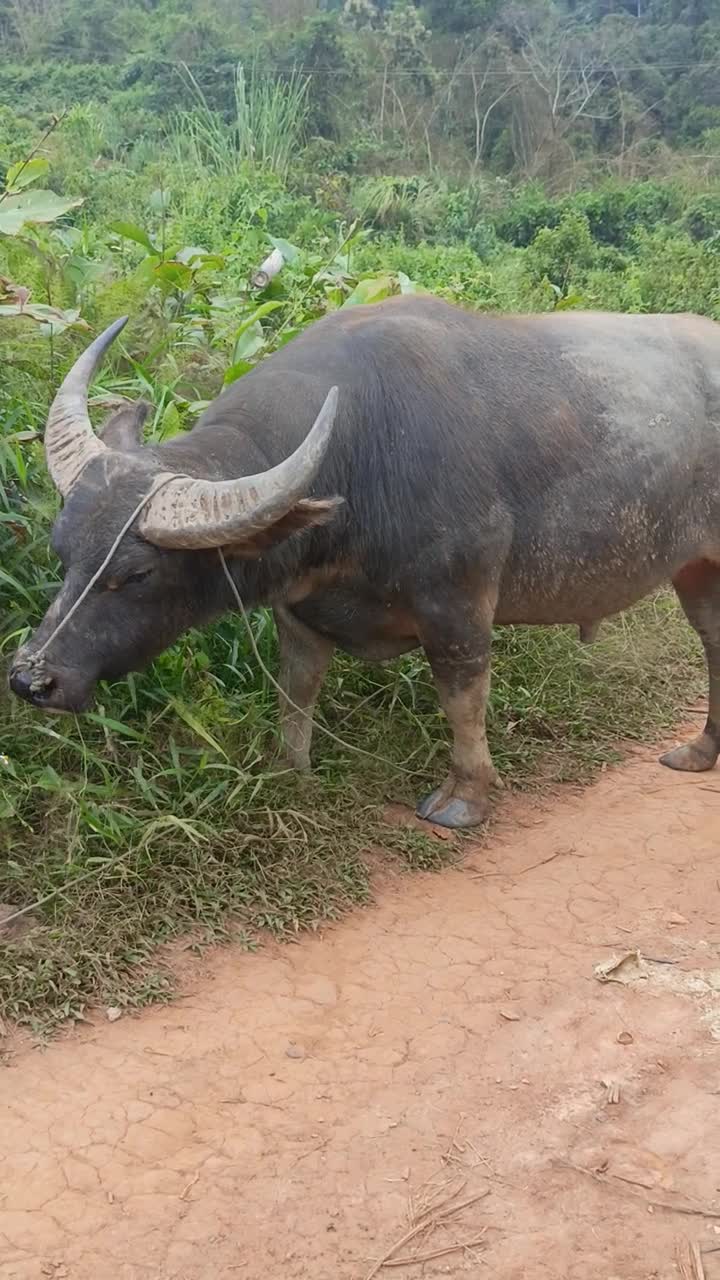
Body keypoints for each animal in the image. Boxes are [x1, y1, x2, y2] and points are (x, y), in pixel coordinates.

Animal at [9, 296, 720, 828]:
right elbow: (297, 690)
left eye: (137, 575)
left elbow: (463, 700)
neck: (360, 457)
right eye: (63, 552)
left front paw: (466, 797)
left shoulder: (458, 610)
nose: (31, 680)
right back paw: (700, 750)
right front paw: (287, 771)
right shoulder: (299, 612)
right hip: (697, 569)